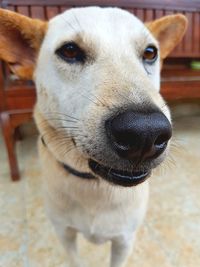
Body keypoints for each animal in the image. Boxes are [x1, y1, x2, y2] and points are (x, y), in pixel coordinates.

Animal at [0, 6, 188, 267]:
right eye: (69, 50)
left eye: (150, 53)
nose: (144, 134)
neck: (93, 185)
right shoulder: (65, 234)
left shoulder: (124, 241)